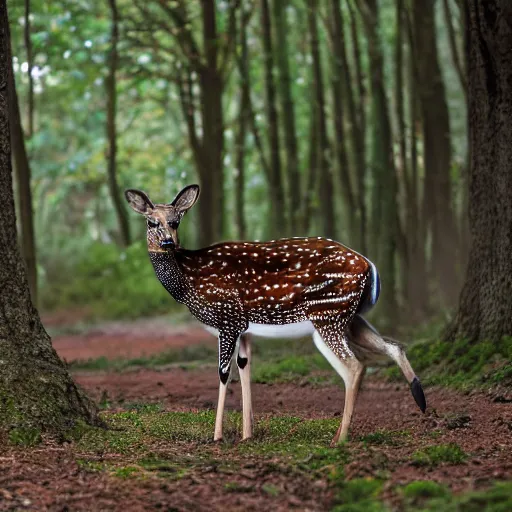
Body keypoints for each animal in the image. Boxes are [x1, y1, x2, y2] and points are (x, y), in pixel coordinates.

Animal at [126, 184, 426, 444]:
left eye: (176, 221)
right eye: (151, 222)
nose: (168, 243)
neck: (189, 278)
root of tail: (369, 266)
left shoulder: (227, 318)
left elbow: (223, 373)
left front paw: (218, 436)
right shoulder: (244, 326)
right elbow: (244, 367)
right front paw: (247, 435)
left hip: (327, 313)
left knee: (355, 366)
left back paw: (338, 439)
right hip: (349, 317)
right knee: (394, 346)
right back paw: (420, 403)